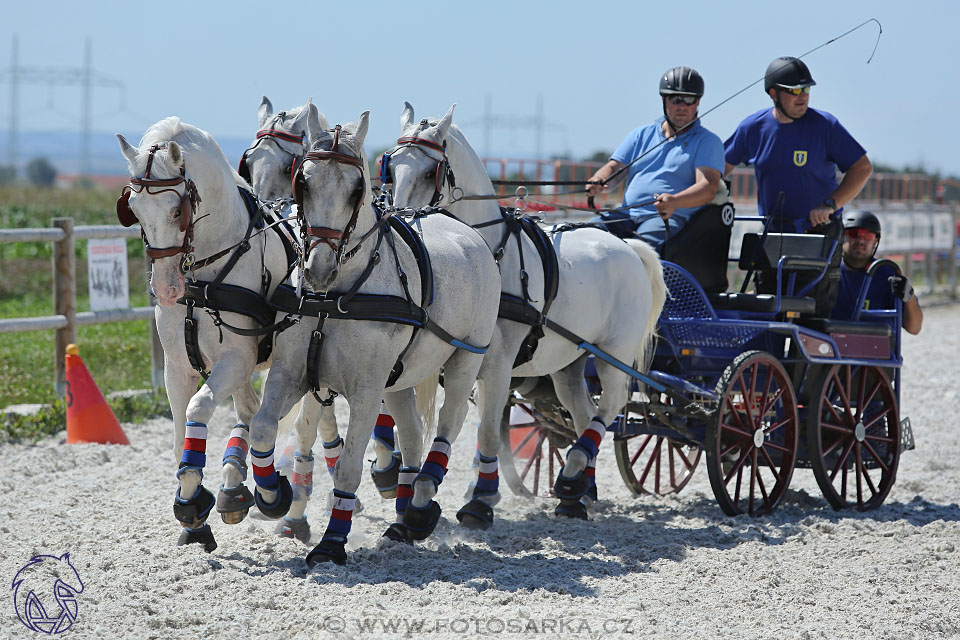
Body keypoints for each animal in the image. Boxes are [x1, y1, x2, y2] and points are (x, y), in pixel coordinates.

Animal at [117, 117, 294, 552]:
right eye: (133, 210)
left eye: (176, 210)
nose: (166, 290)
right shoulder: (178, 367)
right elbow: (181, 430)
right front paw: (191, 509)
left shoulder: (237, 360)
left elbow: (199, 409)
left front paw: (195, 500)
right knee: (249, 411)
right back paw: (234, 485)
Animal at [248, 111, 502, 564]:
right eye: (303, 181)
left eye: (357, 189)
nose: (319, 268)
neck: (332, 298)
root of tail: (468, 233)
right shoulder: (291, 372)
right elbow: (263, 430)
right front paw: (273, 495)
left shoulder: (366, 390)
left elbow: (349, 465)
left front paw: (332, 542)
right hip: (399, 378)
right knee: (414, 433)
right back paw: (404, 519)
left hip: (466, 358)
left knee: (449, 425)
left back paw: (421, 502)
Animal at [386, 104, 664, 520]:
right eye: (391, 165)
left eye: (428, 171)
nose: (400, 217)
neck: (489, 252)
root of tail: (627, 245)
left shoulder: (497, 363)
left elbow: (487, 430)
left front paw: (480, 502)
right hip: (570, 362)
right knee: (584, 412)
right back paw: (578, 489)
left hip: (614, 352)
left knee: (611, 405)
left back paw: (575, 473)